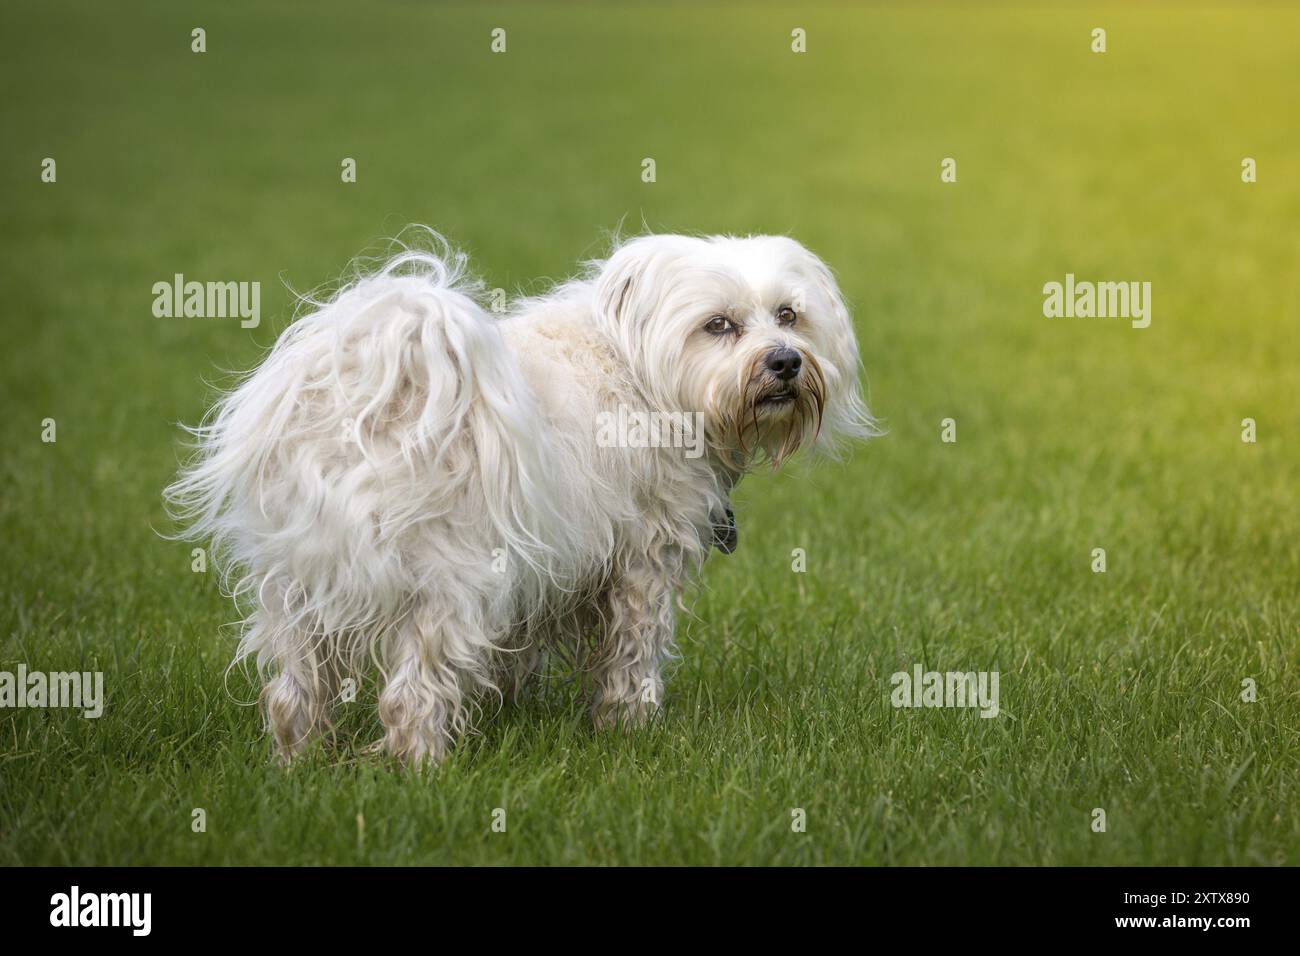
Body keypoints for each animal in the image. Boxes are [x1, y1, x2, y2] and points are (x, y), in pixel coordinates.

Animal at [162, 230, 873, 764]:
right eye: (718, 325)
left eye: (788, 315)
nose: (784, 361)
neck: (644, 372)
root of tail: (372, 395)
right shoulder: (643, 562)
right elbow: (633, 652)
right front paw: (631, 725)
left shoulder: (548, 570)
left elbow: (519, 653)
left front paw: (508, 707)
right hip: (447, 584)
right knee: (410, 696)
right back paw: (423, 770)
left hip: (295, 589)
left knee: (293, 693)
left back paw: (298, 766)